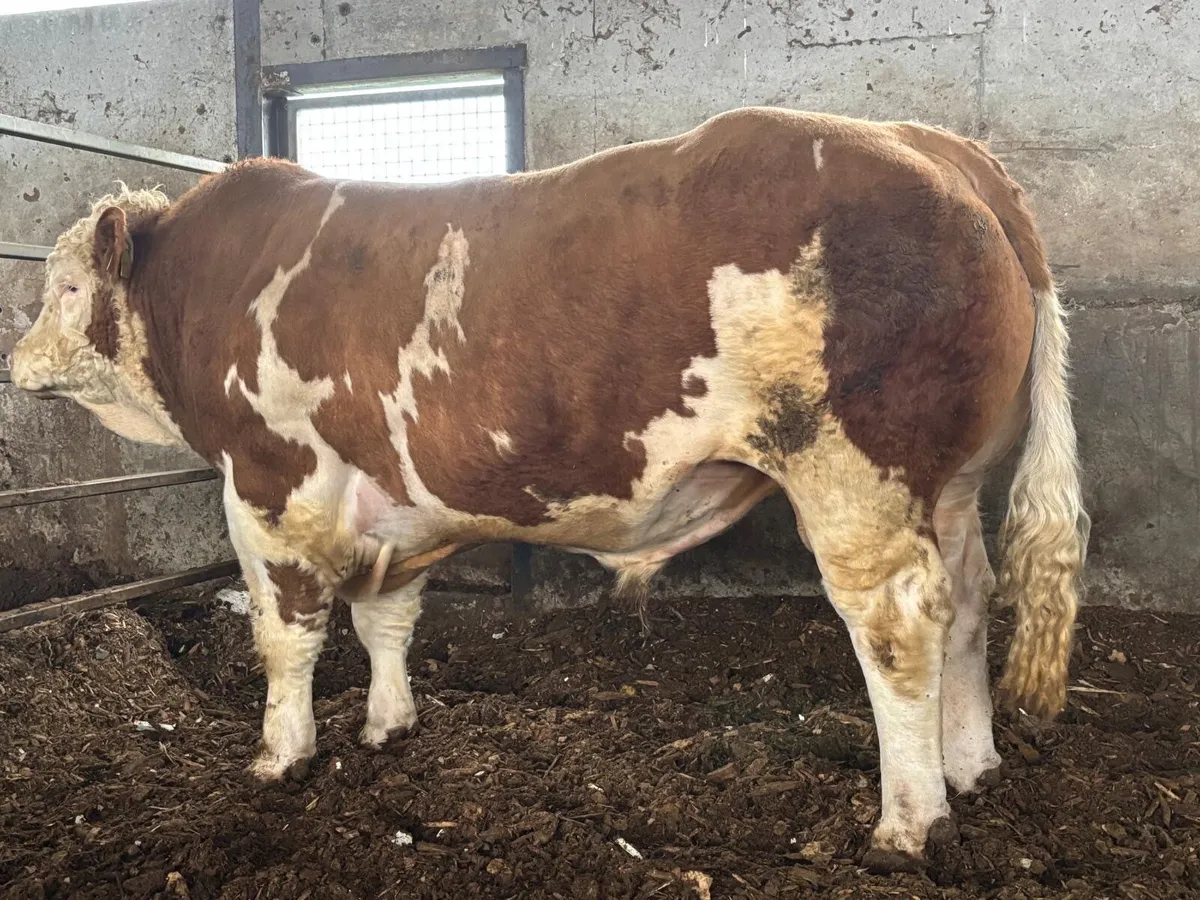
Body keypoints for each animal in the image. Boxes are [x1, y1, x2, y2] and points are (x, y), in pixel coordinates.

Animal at [10, 107, 1088, 870]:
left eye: (65, 288)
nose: (17, 362)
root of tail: (934, 146)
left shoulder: (271, 482)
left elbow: (288, 634)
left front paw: (280, 756)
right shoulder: (396, 501)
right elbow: (386, 619)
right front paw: (389, 724)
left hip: (855, 474)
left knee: (900, 623)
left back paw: (909, 820)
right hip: (953, 485)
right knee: (971, 599)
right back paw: (972, 766)